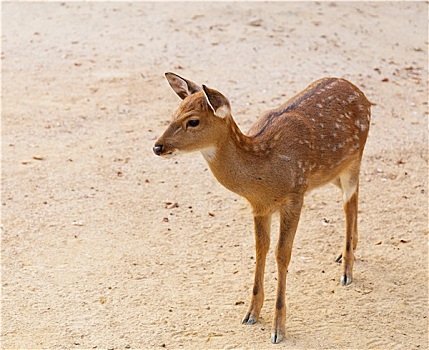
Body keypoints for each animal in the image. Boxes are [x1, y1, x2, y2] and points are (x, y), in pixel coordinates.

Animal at [152, 72, 370, 344]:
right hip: (332, 171)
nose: (158, 147)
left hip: (355, 155)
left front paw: (278, 329)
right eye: (174, 112)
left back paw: (346, 270)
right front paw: (250, 313)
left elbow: (282, 253)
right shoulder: (259, 206)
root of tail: (360, 93)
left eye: (193, 121)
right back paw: (346, 251)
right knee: (354, 195)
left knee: (349, 202)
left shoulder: (295, 196)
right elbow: (260, 249)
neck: (264, 171)